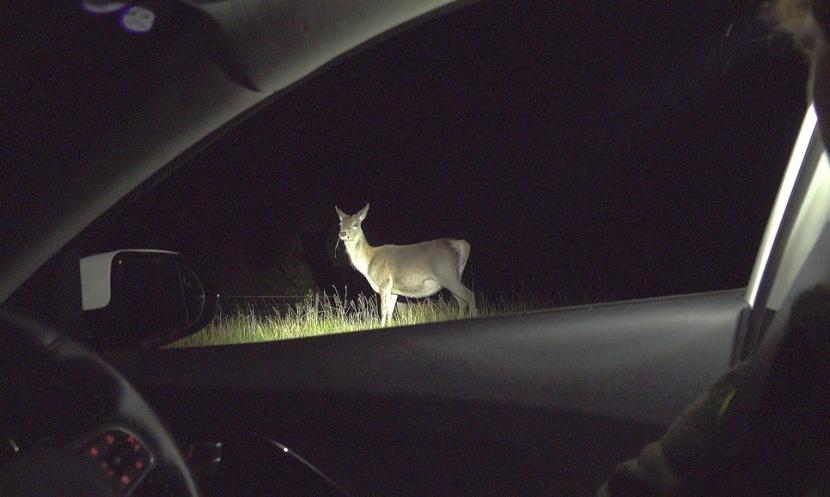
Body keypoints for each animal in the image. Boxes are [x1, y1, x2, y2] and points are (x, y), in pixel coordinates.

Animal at [336, 203, 477, 326]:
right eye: (340, 223)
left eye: (355, 224)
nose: (342, 233)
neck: (368, 262)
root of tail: (462, 245)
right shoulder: (393, 289)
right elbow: (390, 312)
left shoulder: (384, 282)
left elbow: (383, 311)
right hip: (453, 277)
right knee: (461, 301)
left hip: (447, 274)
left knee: (469, 295)